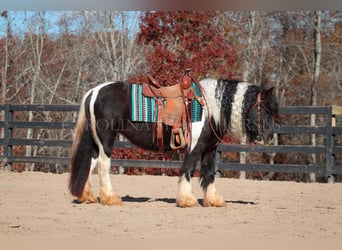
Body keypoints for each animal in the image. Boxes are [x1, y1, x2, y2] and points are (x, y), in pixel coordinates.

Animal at [69, 78, 278, 207]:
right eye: (266, 110)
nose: (269, 137)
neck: (209, 107)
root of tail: (94, 91)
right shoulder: (194, 148)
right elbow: (187, 170)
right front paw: (187, 200)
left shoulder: (210, 149)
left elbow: (209, 174)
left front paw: (213, 200)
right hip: (106, 142)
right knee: (103, 166)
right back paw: (110, 198)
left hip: (96, 142)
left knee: (90, 163)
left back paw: (87, 196)